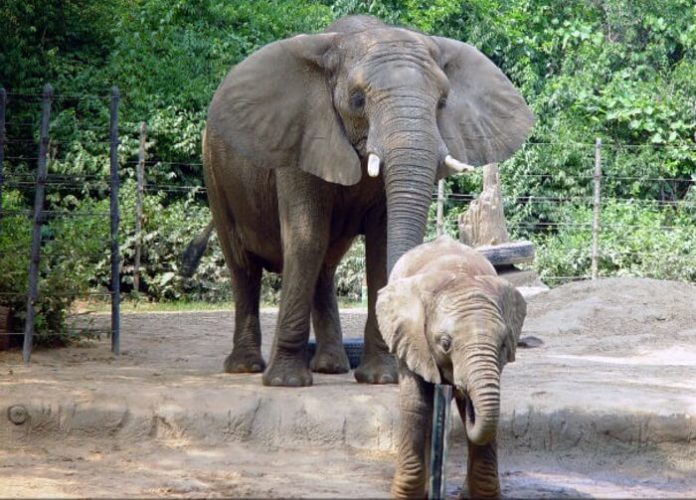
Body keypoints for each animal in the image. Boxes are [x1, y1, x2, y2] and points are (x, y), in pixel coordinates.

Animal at [196, 14, 532, 386]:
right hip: (215, 174)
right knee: (243, 266)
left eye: (443, 102)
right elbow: (305, 237)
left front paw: (383, 378)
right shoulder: (301, 140)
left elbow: (379, 245)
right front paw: (285, 383)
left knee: (323, 266)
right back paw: (246, 367)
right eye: (357, 100)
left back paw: (331, 366)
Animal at [378, 235, 524, 500]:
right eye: (445, 343)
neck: (460, 276)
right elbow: (416, 404)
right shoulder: (410, 337)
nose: (459, 387)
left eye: (503, 345)